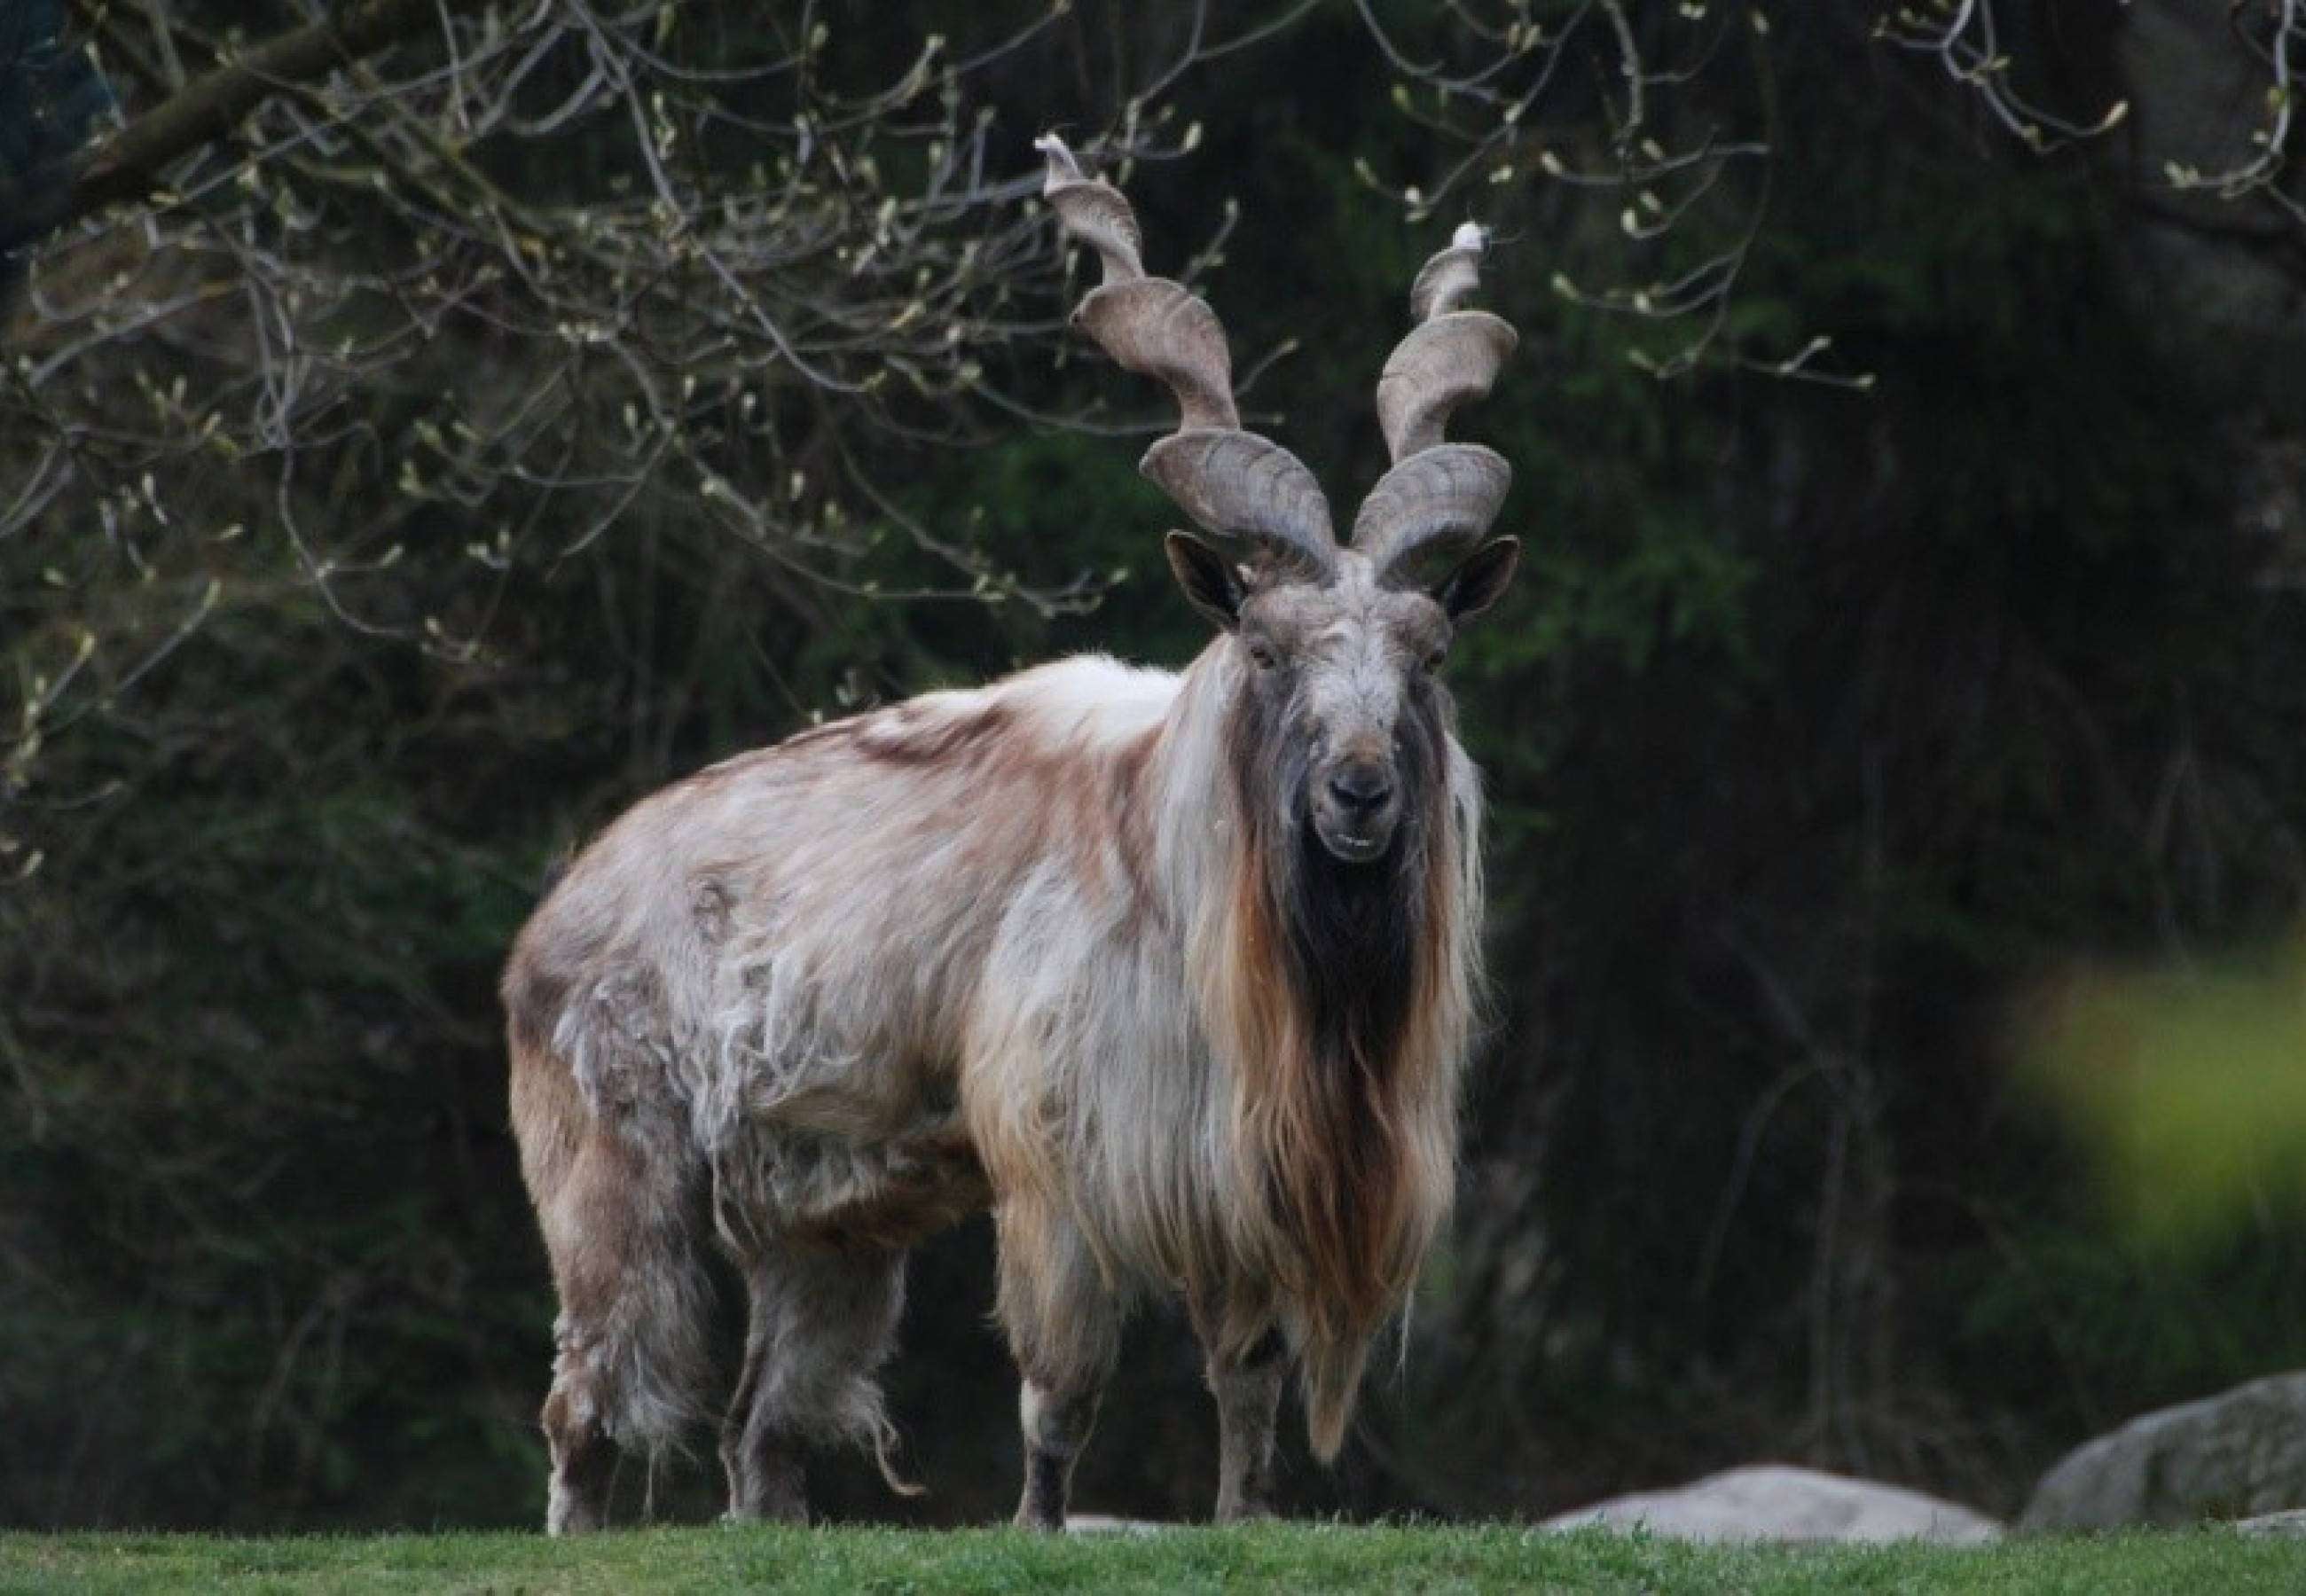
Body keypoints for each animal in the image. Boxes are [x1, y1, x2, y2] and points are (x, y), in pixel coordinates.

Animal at [496, 140, 1521, 1531]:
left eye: (1429, 656)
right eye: (1267, 648)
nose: (1359, 794)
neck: (1176, 870)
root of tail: (554, 917)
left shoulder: (1237, 1196)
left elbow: (1247, 1386)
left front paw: (1243, 1520)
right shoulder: (1054, 1179)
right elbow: (1058, 1392)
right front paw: (1041, 1528)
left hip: (820, 1229)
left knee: (760, 1430)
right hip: (618, 1183)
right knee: (589, 1409)